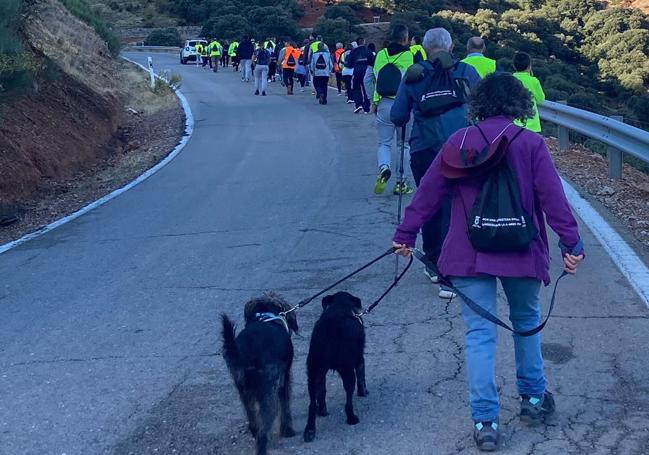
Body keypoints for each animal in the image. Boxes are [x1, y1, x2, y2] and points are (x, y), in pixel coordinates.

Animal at [220, 294, 296, 454]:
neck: (266, 316)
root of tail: (246, 352)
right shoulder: (285, 380)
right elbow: (285, 407)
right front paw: (288, 431)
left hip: (244, 392)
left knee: (254, 422)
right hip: (268, 394)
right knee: (262, 430)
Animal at [302, 292, 368, 442]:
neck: (340, 306)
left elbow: (322, 392)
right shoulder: (359, 358)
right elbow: (362, 375)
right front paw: (363, 392)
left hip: (314, 371)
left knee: (313, 402)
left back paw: (312, 426)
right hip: (347, 370)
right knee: (348, 400)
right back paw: (351, 418)